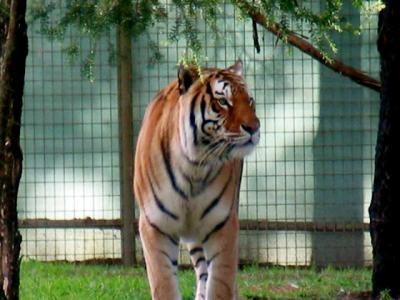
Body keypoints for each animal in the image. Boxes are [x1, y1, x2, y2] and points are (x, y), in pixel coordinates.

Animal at [133, 59, 260, 300]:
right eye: (223, 101)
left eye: (250, 100)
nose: (254, 128)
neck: (194, 166)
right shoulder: (155, 226)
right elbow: (164, 286)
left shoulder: (223, 224)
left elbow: (221, 285)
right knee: (202, 271)